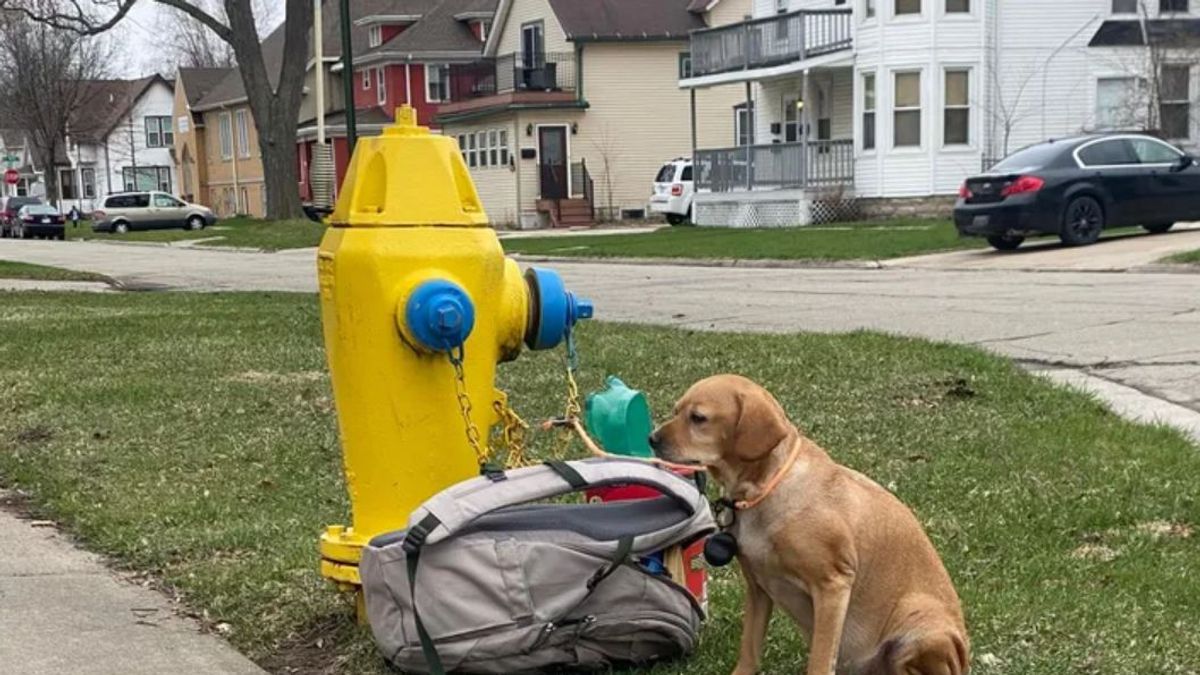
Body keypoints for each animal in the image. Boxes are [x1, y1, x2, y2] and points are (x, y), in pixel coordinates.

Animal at [652, 372, 969, 672]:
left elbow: (820, 660)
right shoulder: (757, 587)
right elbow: (749, 650)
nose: (652, 439)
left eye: (698, 418)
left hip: (919, 621)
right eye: (676, 410)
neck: (764, 490)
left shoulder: (833, 585)